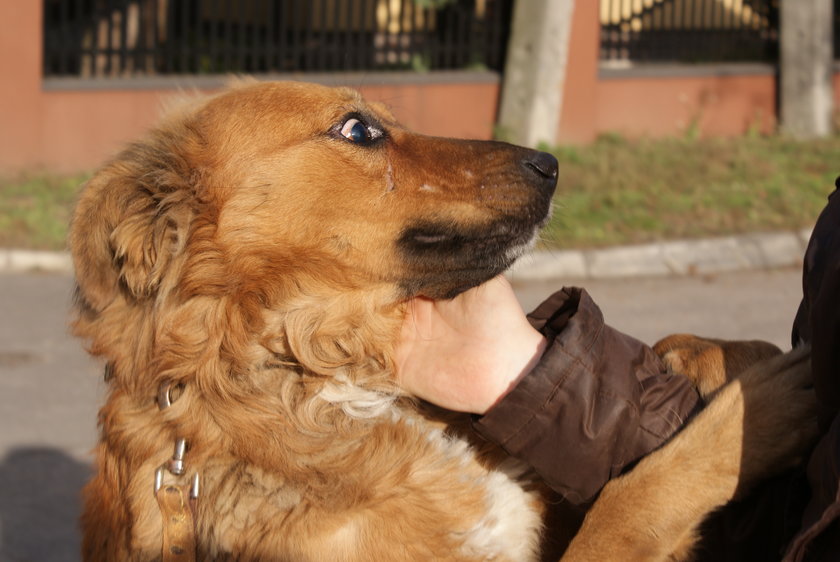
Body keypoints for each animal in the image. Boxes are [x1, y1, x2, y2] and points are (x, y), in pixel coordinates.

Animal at [70, 80, 812, 560]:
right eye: (360, 129)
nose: (550, 163)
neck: (334, 381)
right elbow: (630, 505)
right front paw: (749, 415)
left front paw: (710, 354)